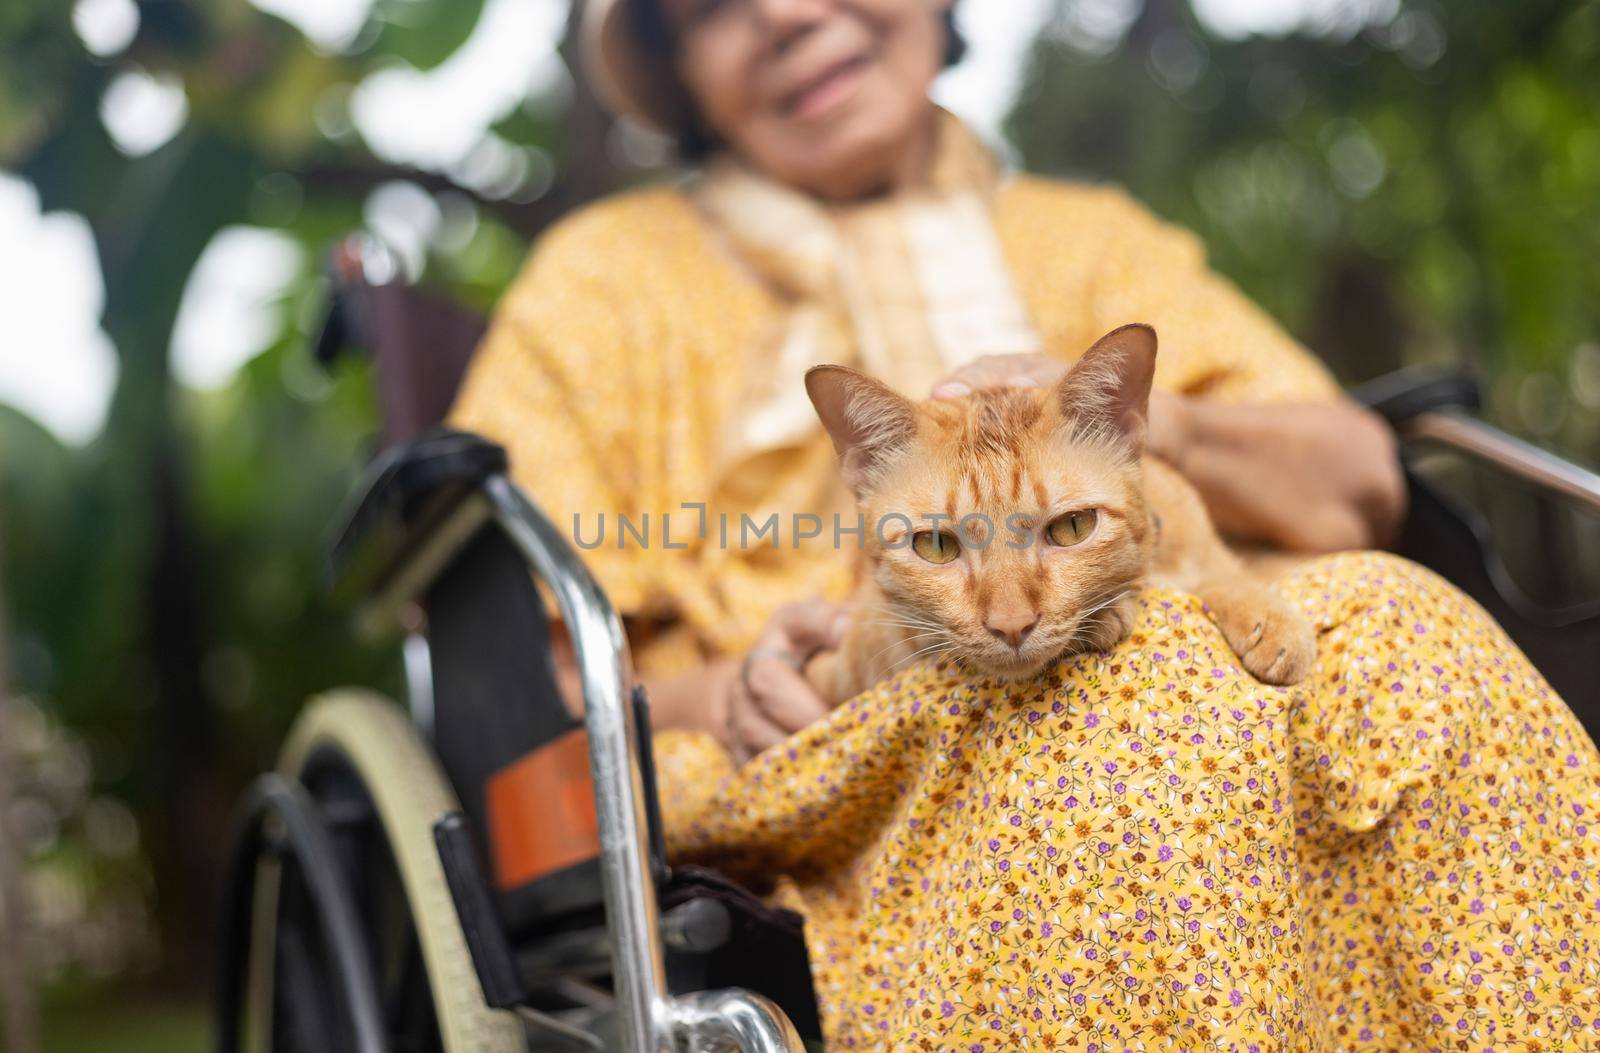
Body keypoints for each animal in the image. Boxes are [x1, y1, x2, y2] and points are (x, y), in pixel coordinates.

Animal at [800, 320, 1312, 700]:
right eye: (937, 545)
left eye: (1072, 528)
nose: (1011, 626)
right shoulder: (849, 654)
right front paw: (1107, 615)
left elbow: (1224, 576)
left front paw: (1270, 618)